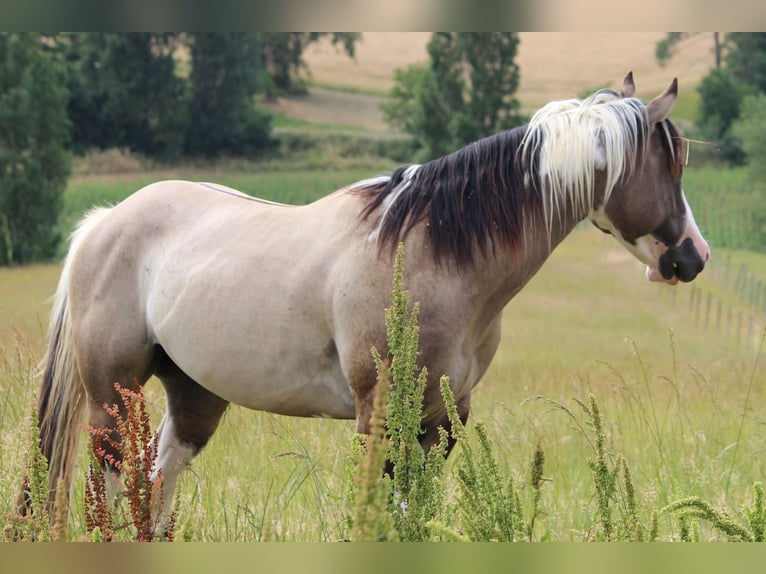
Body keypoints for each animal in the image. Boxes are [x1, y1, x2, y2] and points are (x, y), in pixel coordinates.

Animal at [21, 72, 710, 530]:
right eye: (671, 164)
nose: (694, 257)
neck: (436, 254)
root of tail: (106, 222)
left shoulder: (441, 423)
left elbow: (411, 520)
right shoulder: (377, 418)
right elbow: (372, 519)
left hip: (192, 398)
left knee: (155, 497)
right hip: (112, 402)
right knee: (104, 500)